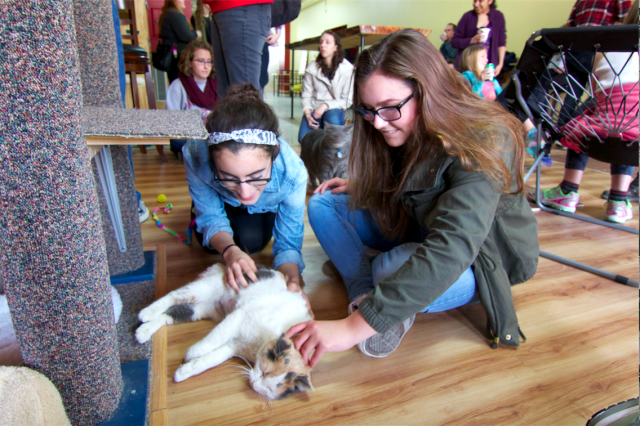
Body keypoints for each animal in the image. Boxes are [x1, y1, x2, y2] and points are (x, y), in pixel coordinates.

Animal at [136, 262, 314, 400]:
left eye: (269, 390)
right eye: (264, 372)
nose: (254, 384)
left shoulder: (234, 346)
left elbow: (211, 359)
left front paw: (184, 371)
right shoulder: (239, 317)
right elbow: (213, 339)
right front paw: (192, 353)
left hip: (201, 309)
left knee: (171, 313)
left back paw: (144, 331)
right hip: (204, 289)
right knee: (173, 296)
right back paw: (145, 313)